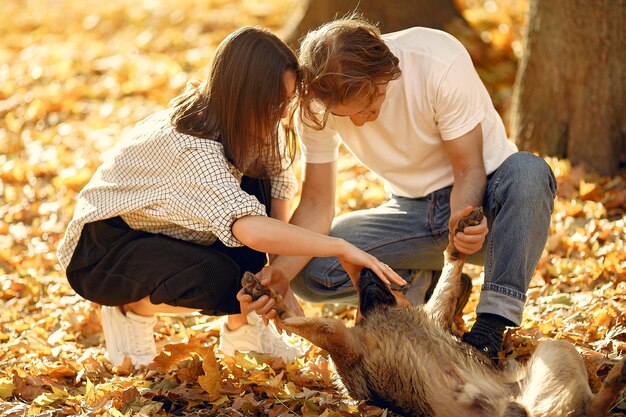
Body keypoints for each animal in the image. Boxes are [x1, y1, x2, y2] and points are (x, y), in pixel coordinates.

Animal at [241, 206, 620, 414]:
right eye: (368, 276)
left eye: (381, 274)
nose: (365, 270)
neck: (386, 315)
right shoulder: (347, 344)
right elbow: (308, 325)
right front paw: (270, 300)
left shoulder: (422, 317)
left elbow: (450, 275)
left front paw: (459, 240)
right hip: (555, 356)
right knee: (588, 409)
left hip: (556, 352)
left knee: (590, 407)